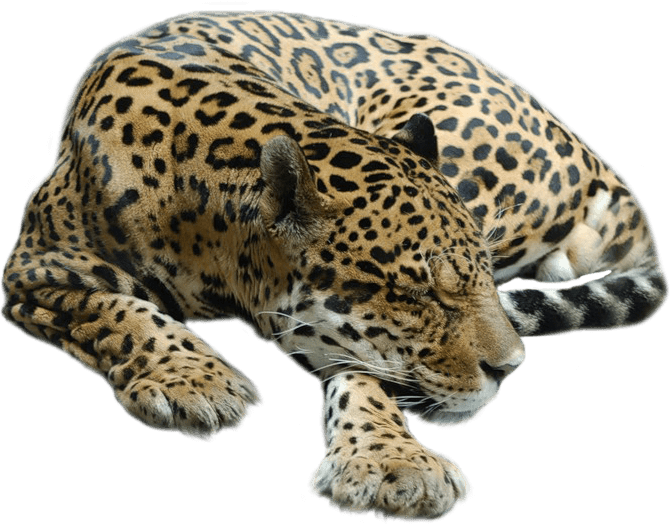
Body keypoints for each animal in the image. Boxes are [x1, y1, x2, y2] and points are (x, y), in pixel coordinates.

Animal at [2, 10, 667, 521]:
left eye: (478, 272)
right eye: (417, 293)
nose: (510, 368)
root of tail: (594, 153)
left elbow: (364, 370)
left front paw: (395, 464)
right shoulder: (37, 263)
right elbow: (120, 309)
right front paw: (196, 381)